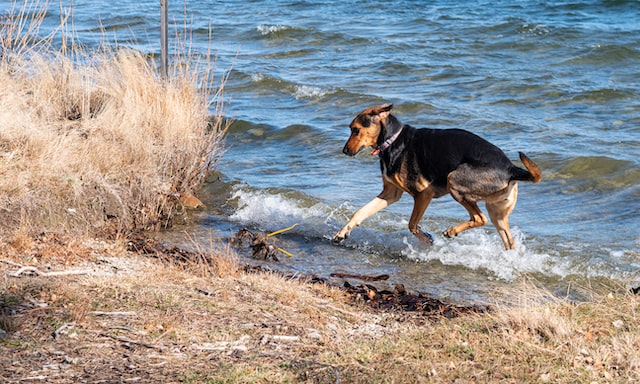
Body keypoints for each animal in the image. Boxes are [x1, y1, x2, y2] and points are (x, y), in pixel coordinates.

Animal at [332, 103, 544, 250]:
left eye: (356, 130)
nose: (344, 151)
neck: (392, 140)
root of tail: (511, 168)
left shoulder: (423, 195)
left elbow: (412, 225)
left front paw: (428, 240)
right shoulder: (390, 193)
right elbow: (360, 212)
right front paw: (343, 232)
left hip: (454, 180)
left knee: (480, 218)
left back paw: (452, 231)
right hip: (497, 213)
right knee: (507, 239)